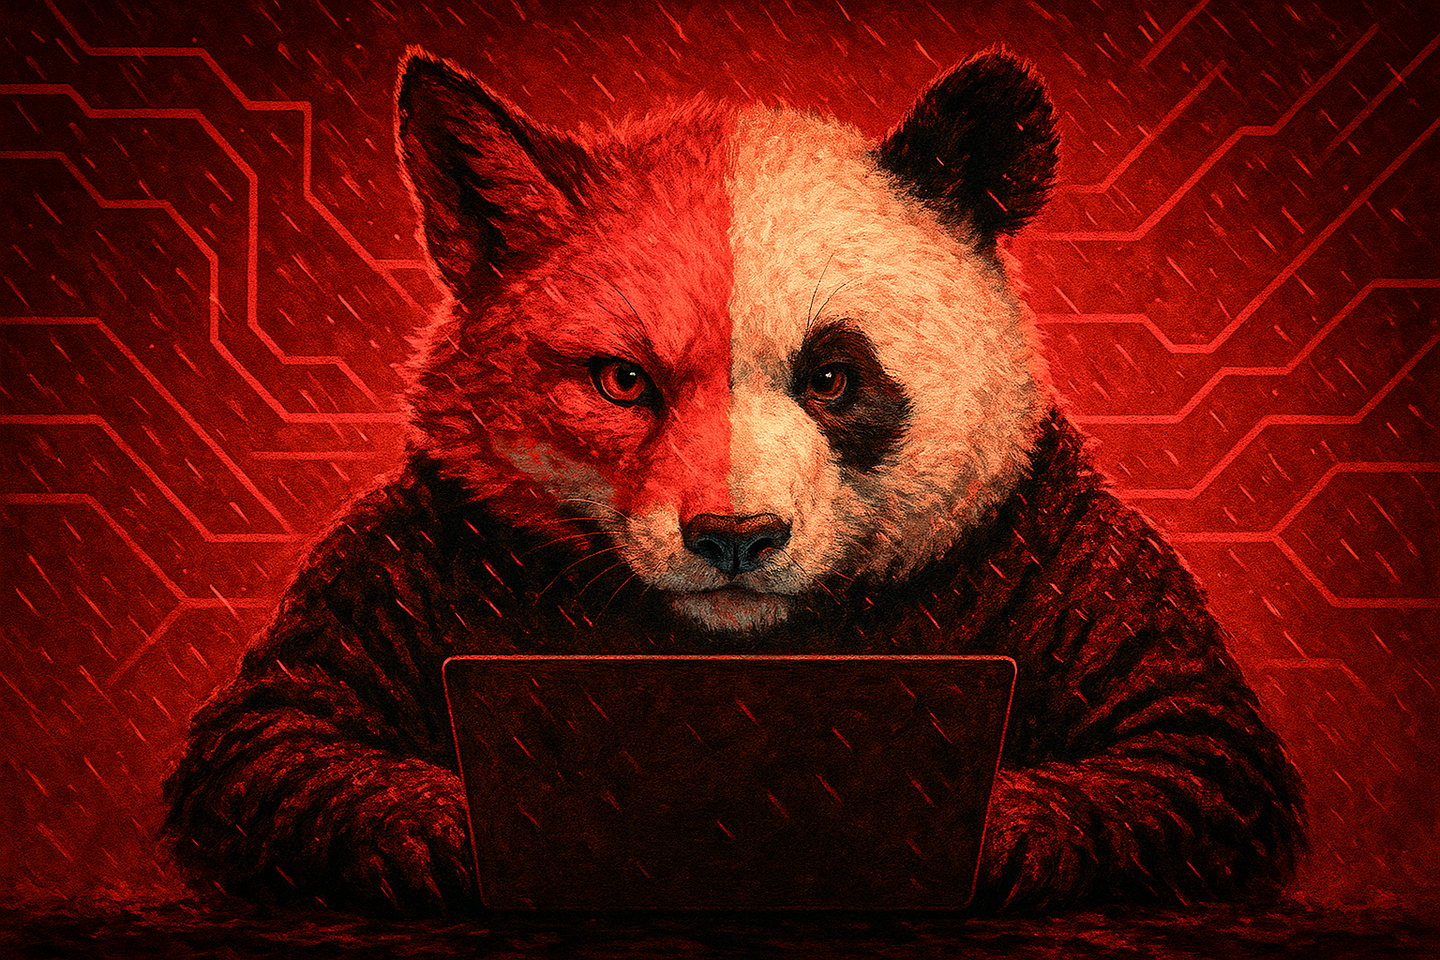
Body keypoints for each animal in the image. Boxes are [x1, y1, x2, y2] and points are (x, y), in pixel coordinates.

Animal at [162, 48, 1305, 914]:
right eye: (623, 379)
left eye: (833, 376)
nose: (735, 538)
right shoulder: (434, 544)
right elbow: (279, 733)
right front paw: (480, 835)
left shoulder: (1042, 539)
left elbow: (1190, 744)